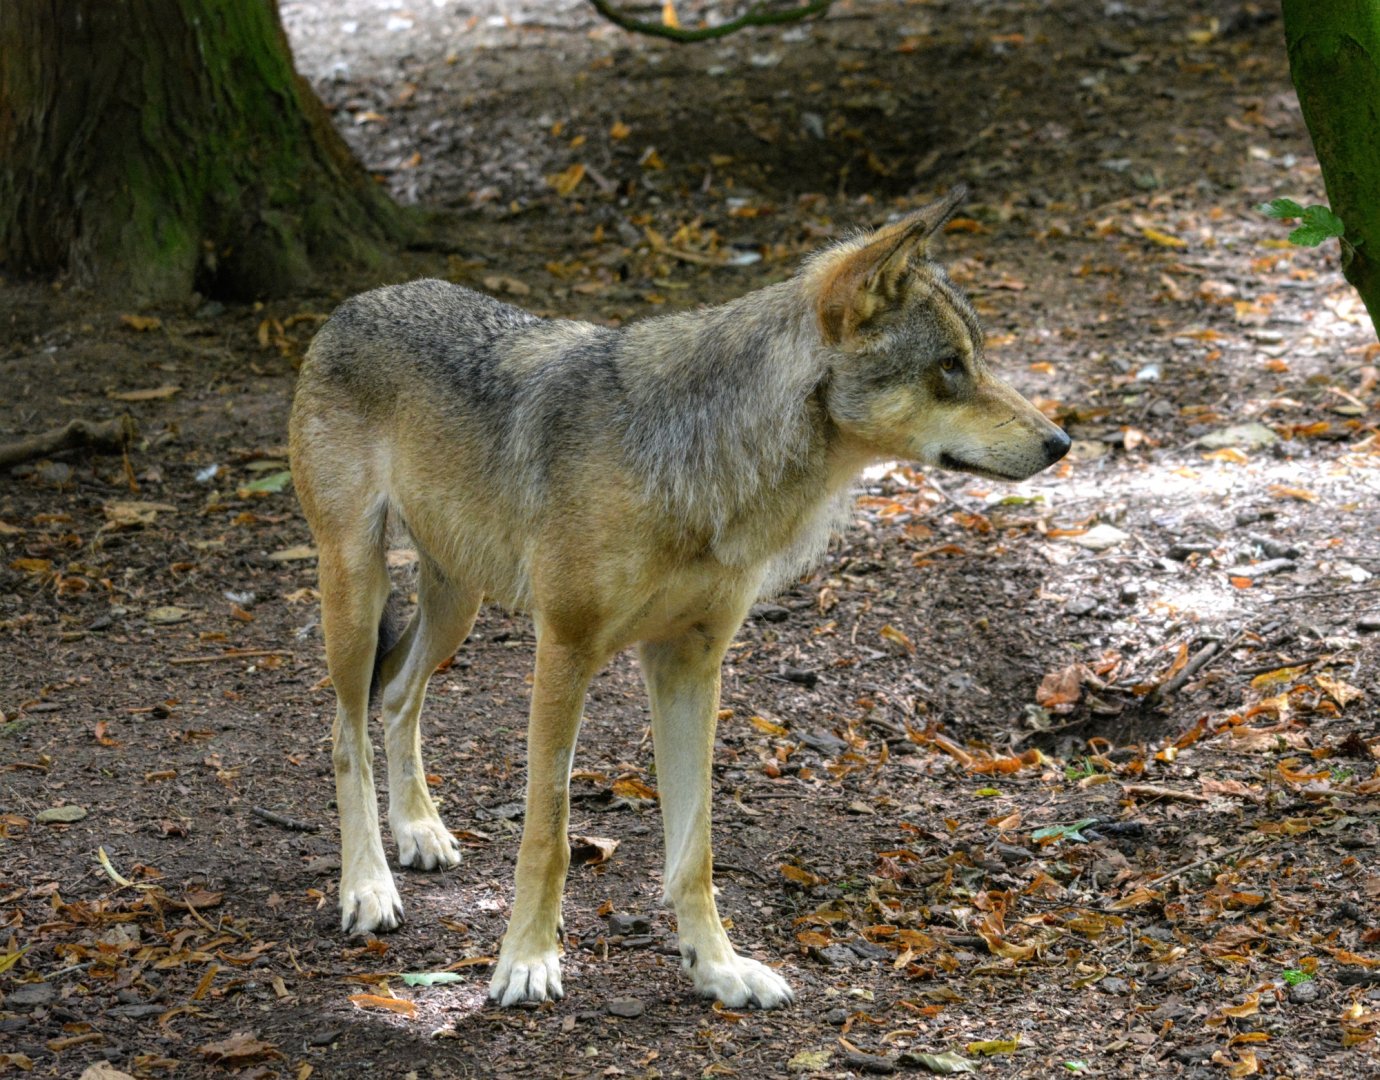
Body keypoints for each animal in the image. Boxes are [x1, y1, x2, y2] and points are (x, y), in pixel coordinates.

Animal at [287, 186, 1069, 1010]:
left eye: (975, 358)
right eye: (949, 366)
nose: (1062, 443)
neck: (706, 452)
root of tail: (358, 301)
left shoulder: (689, 663)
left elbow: (696, 849)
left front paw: (718, 969)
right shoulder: (564, 650)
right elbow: (549, 833)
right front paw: (527, 961)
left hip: (456, 605)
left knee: (398, 692)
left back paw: (421, 831)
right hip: (358, 590)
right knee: (343, 732)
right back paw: (368, 887)